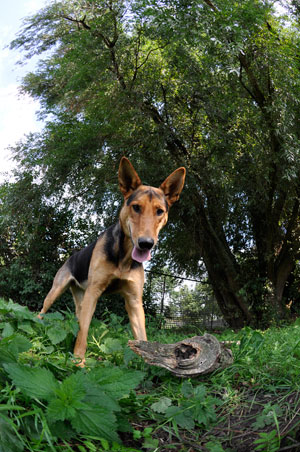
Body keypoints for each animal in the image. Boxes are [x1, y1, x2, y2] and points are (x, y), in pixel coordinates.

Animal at [38, 157, 185, 366]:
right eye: (136, 207)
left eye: (160, 211)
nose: (146, 243)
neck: (123, 257)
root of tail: (71, 256)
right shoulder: (94, 292)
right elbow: (83, 333)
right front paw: (78, 363)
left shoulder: (134, 300)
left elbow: (142, 337)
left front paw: (149, 363)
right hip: (56, 291)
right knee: (44, 311)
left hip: (81, 299)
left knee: (77, 319)